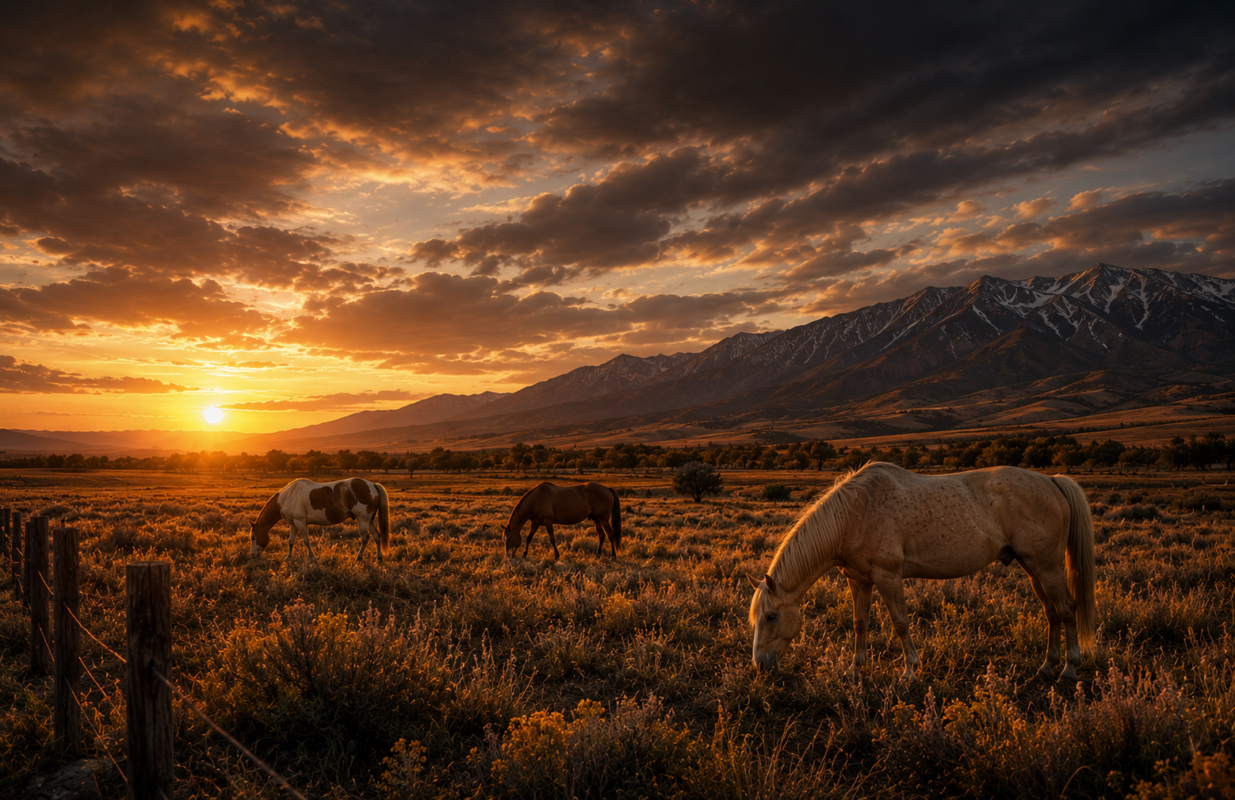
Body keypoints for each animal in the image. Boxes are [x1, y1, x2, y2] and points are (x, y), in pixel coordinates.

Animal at [250, 477, 391, 563]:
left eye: (252, 537)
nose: (252, 555)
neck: (288, 497)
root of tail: (373, 485)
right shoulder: (293, 523)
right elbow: (290, 541)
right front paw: (288, 557)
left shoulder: (300, 522)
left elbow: (306, 541)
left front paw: (311, 557)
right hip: (369, 520)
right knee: (377, 536)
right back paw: (379, 558)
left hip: (362, 520)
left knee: (365, 538)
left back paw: (359, 557)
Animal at [748, 462, 1095, 682]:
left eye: (771, 616)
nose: (760, 665)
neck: (853, 515)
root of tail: (1052, 481)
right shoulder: (858, 580)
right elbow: (860, 624)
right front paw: (855, 670)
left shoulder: (888, 577)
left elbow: (900, 623)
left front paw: (909, 672)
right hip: (1033, 568)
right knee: (1051, 612)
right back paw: (1047, 667)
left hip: (1047, 568)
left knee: (1067, 609)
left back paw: (1069, 669)